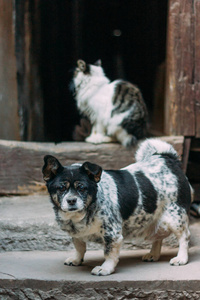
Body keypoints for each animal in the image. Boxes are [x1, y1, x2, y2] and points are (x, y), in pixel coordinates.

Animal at [42, 138, 192, 274]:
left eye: (82, 188)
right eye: (61, 188)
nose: (71, 200)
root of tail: (168, 159)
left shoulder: (112, 234)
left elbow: (109, 253)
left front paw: (105, 268)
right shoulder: (77, 235)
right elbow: (79, 247)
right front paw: (76, 260)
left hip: (174, 218)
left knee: (184, 237)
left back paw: (181, 258)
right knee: (158, 237)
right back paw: (153, 255)